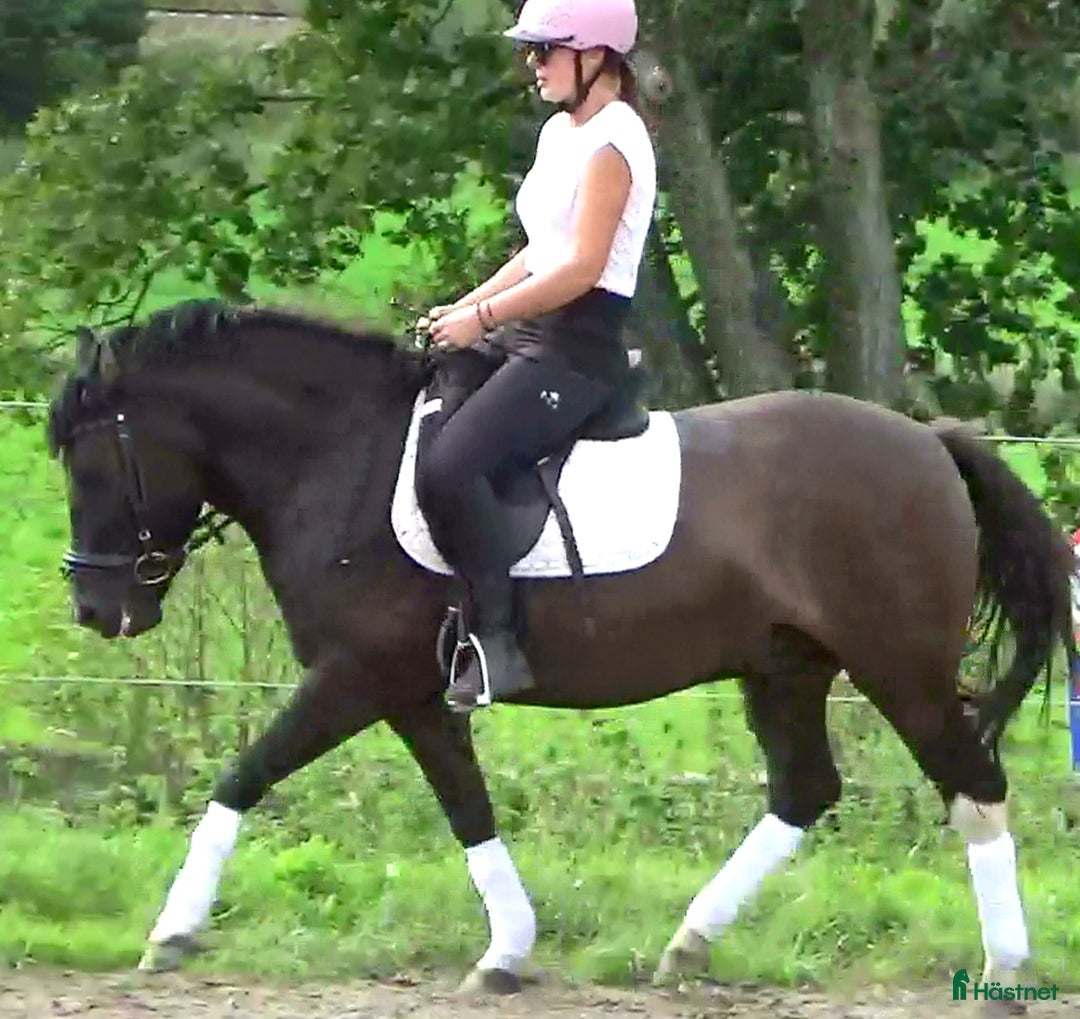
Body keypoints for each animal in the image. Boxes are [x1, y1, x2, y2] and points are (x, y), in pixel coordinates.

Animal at [45, 297, 1074, 1002]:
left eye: (91, 465)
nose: (97, 607)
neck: (341, 461)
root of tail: (930, 443)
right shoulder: (414, 693)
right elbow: (467, 809)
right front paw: (505, 951)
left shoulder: (354, 676)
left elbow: (241, 778)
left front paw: (171, 931)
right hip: (785, 664)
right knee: (806, 789)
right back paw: (689, 943)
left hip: (898, 665)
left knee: (972, 785)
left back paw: (1004, 968)